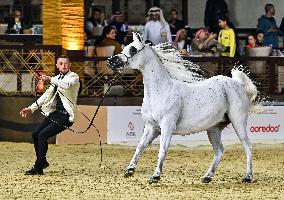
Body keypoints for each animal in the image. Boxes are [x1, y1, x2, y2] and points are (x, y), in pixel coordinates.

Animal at [107, 33, 258, 184]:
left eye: (133, 49)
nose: (110, 61)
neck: (161, 91)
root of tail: (238, 84)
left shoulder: (167, 126)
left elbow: (162, 150)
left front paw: (155, 176)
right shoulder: (151, 127)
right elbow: (140, 146)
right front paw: (129, 170)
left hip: (238, 122)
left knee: (248, 146)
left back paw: (248, 176)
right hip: (214, 128)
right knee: (219, 151)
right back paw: (207, 177)